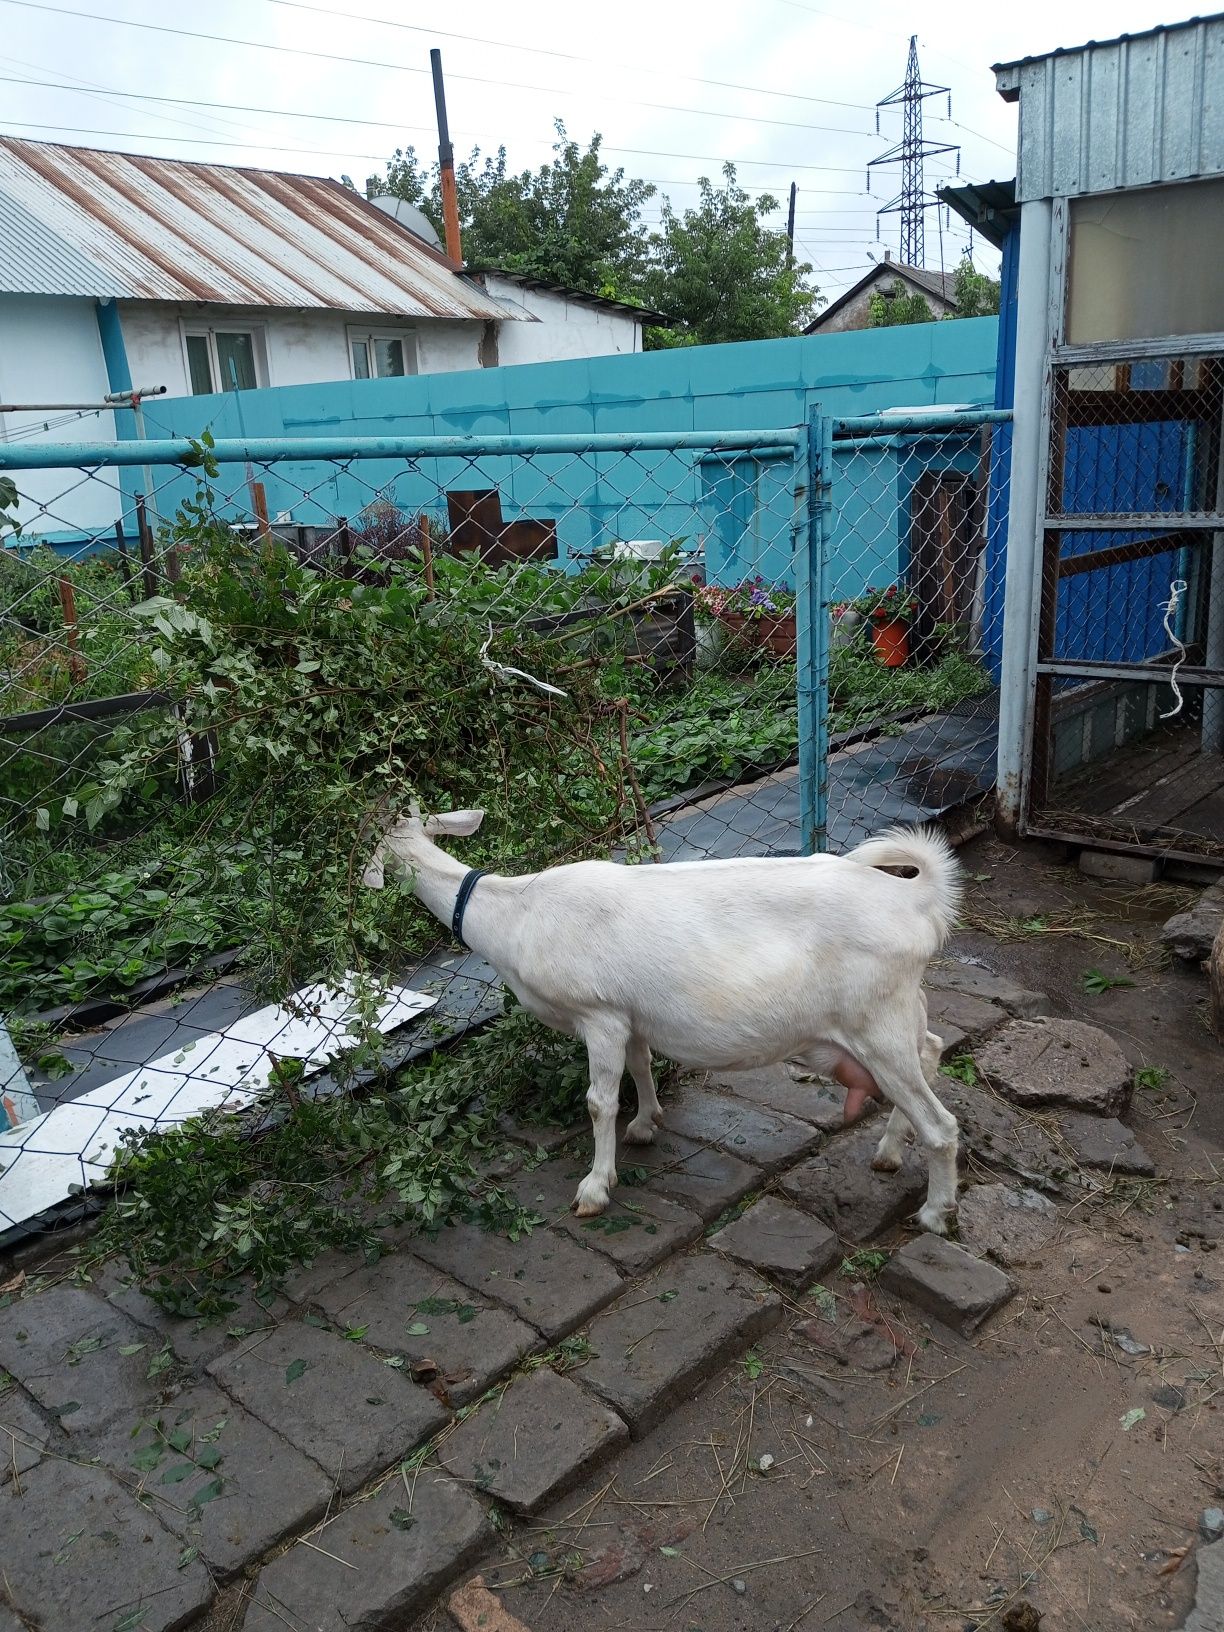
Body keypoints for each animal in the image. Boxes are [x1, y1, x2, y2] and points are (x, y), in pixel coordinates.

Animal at [363, 816, 966, 1233]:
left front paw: (595, 1187)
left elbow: (599, 1101)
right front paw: (646, 1124)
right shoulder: (630, 1016)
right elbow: (641, 1066)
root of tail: (914, 899)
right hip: (896, 1010)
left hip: (876, 1020)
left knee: (940, 1121)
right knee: (932, 1049)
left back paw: (936, 1213)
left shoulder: (599, 1014)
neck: (515, 913)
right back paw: (889, 1153)